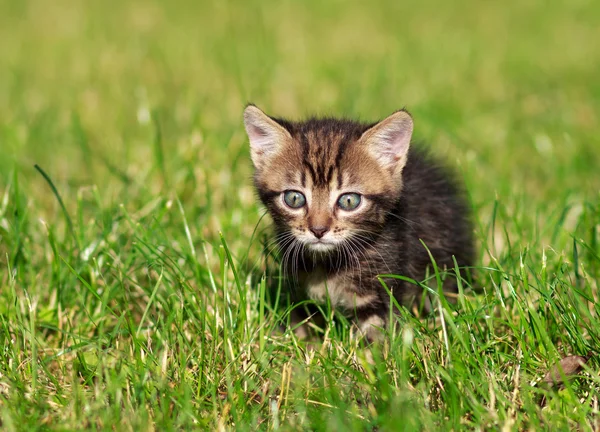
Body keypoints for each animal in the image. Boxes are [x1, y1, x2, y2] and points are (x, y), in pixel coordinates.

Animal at [243, 104, 474, 340]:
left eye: (349, 201)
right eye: (294, 198)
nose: (318, 230)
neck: (328, 264)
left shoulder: (381, 290)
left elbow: (376, 334)